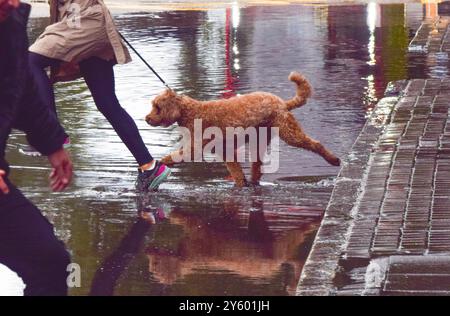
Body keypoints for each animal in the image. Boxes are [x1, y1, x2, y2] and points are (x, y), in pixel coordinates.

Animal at [146, 72, 340, 188]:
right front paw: (241, 184)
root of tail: (282, 103)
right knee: (257, 167)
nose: (147, 118)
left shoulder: (196, 147)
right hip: (260, 139)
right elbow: (237, 173)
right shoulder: (225, 151)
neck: (191, 112)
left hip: (289, 132)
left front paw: (161, 162)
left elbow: (175, 156)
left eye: (157, 107)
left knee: (315, 144)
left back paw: (333, 160)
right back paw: (253, 182)